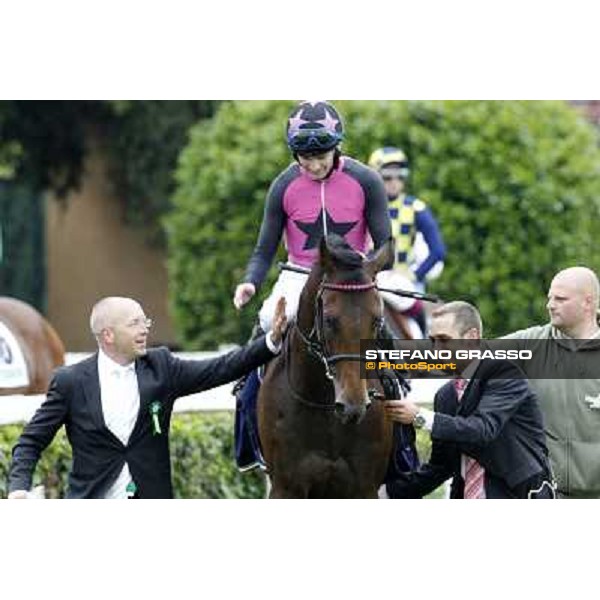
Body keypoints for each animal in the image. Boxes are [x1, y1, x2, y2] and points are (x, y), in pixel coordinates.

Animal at [255, 234, 396, 496]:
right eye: (330, 320)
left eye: (377, 320)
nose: (353, 405)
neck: (323, 403)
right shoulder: (285, 487)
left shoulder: (364, 488)